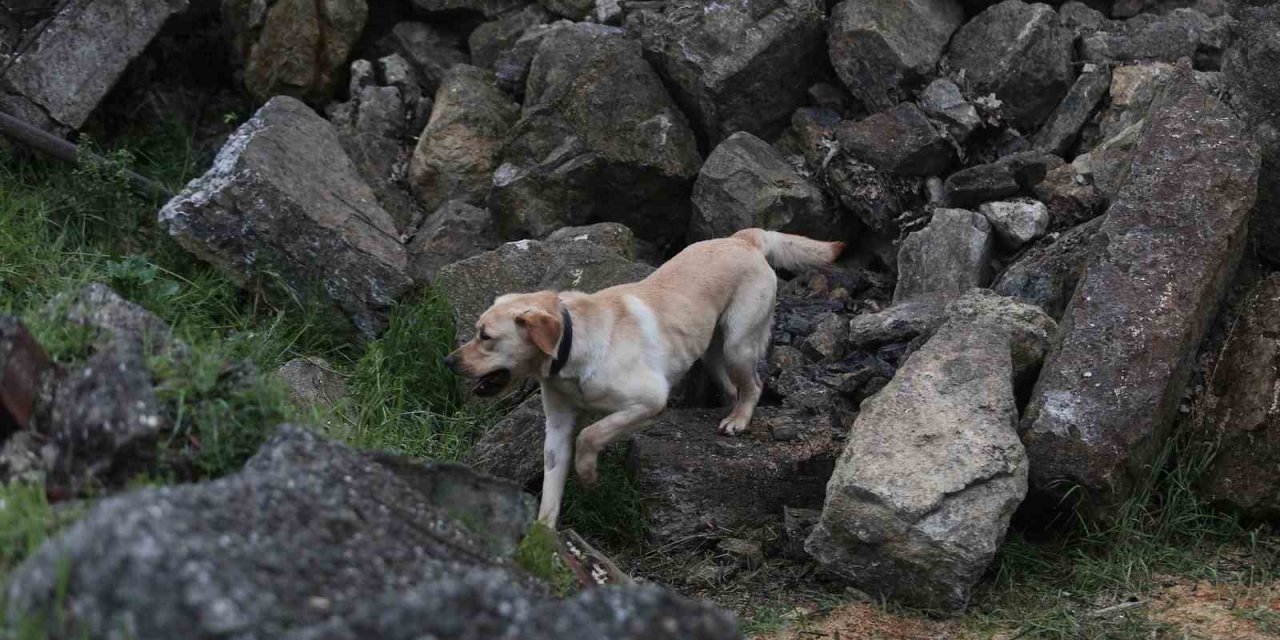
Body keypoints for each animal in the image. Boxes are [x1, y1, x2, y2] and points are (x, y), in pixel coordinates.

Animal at [445, 227, 844, 527]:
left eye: (485, 336)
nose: (449, 361)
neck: (573, 347)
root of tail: (742, 238)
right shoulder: (557, 428)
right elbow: (551, 488)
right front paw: (544, 537)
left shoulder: (649, 400)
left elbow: (591, 435)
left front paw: (588, 474)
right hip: (712, 350)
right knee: (732, 385)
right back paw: (729, 411)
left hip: (738, 343)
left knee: (754, 385)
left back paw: (739, 420)